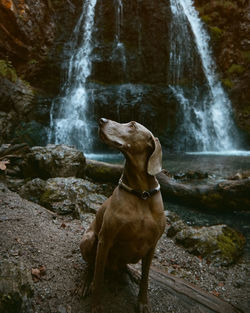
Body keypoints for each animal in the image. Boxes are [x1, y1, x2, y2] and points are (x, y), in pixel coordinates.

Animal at [80, 118, 166, 310]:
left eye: (132, 125)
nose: (101, 120)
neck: (141, 194)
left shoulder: (152, 245)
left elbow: (146, 278)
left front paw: (143, 302)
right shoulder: (105, 240)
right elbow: (98, 279)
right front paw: (96, 306)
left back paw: (131, 272)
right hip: (88, 239)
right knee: (90, 266)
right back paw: (86, 283)